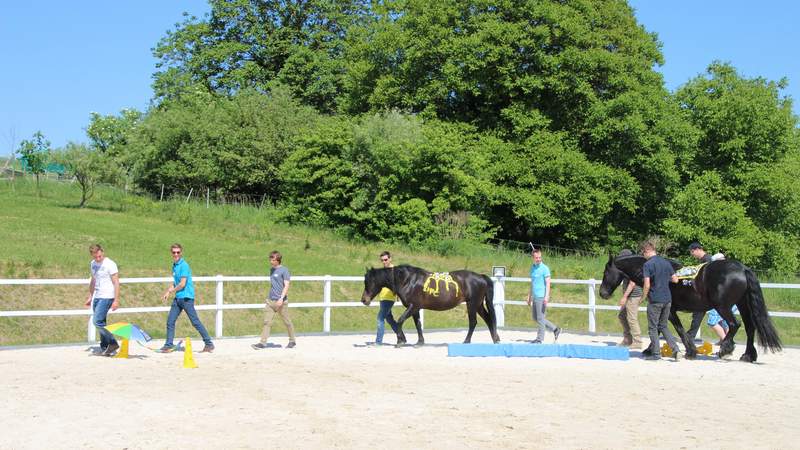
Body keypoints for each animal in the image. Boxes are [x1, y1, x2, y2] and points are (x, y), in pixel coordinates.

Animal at [362, 266, 500, 346]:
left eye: (369, 281)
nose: (364, 300)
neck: (407, 280)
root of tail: (481, 277)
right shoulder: (415, 308)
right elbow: (418, 324)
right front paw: (419, 342)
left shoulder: (413, 306)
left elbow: (399, 321)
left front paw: (400, 341)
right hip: (478, 305)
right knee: (488, 320)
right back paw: (495, 339)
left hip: (472, 304)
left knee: (473, 322)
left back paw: (466, 341)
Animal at [600, 253, 780, 362]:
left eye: (606, 272)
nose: (603, 293)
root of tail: (742, 269)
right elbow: (661, 329)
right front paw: (652, 349)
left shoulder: (669, 311)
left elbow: (676, 329)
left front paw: (689, 351)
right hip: (742, 305)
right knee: (750, 328)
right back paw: (748, 355)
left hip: (723, 307)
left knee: (734, 325)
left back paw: (725, 349)